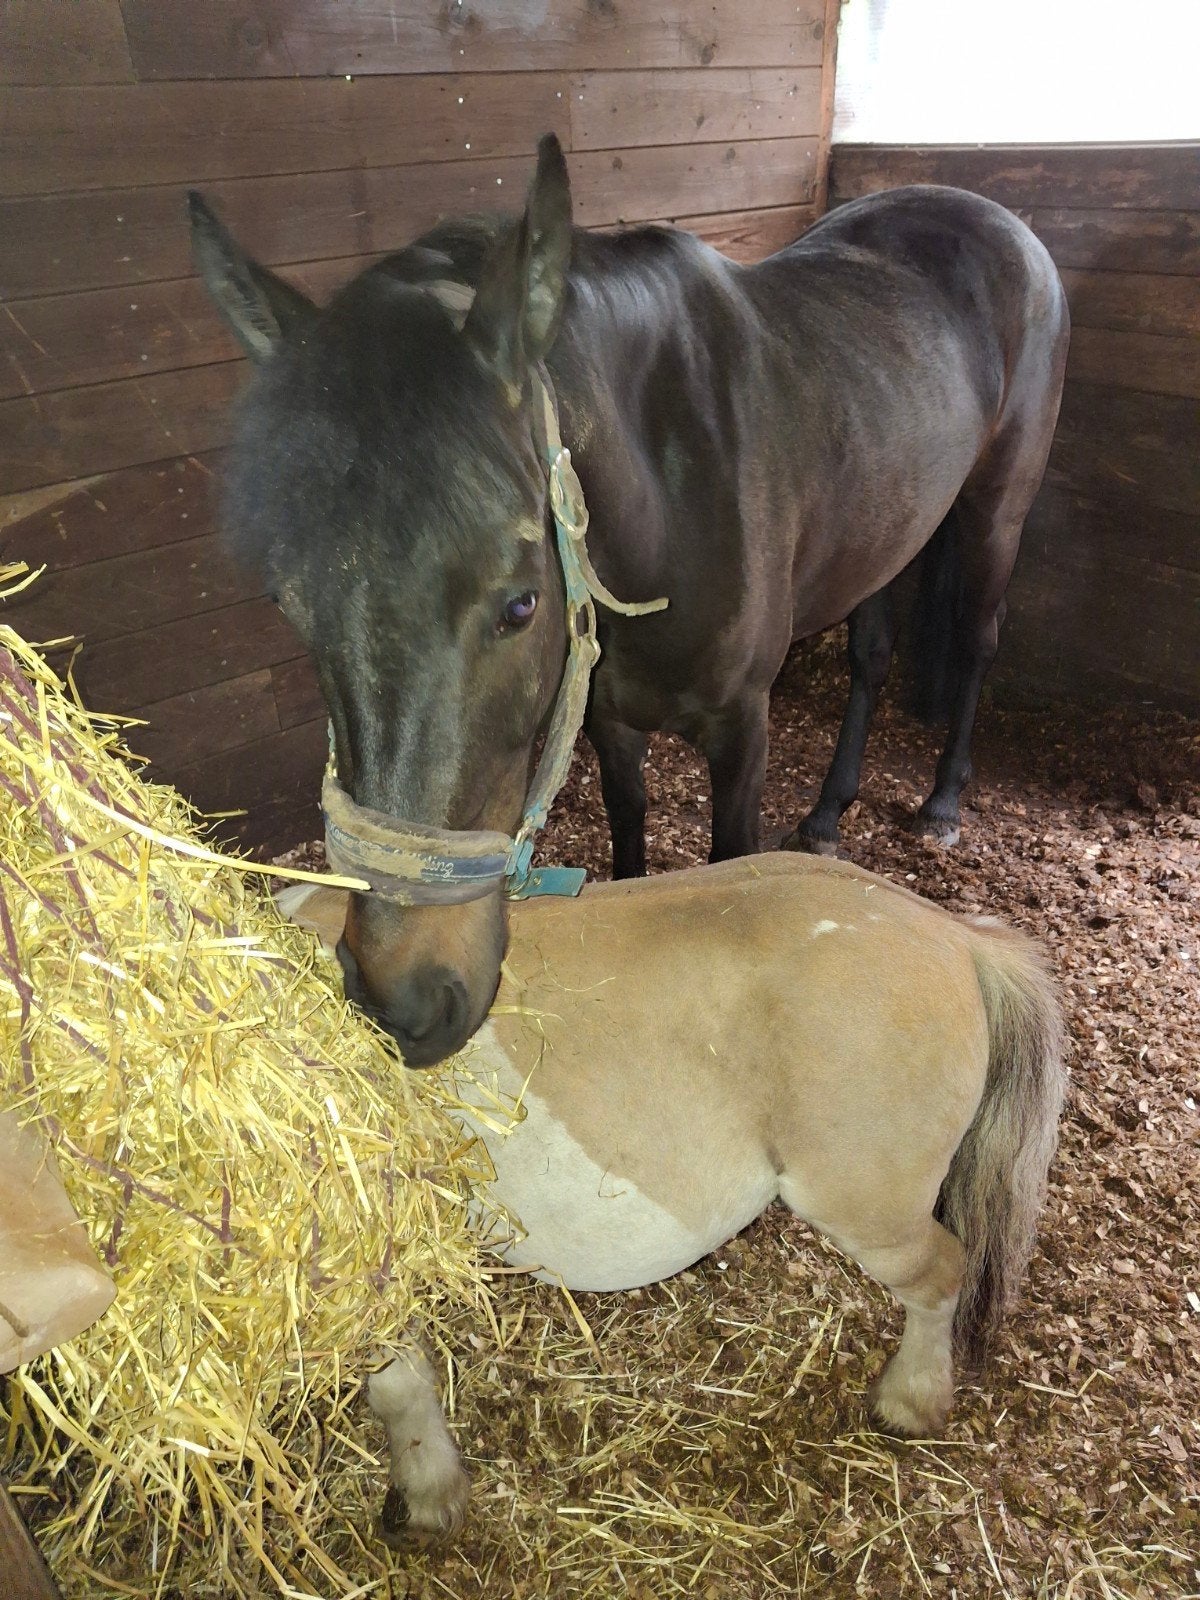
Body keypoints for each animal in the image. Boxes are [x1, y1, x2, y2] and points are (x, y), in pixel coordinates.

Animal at [192, 134, 1069, 1065]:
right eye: (290, 606)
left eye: (520, 607)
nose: (404, 1001)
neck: (670, 497)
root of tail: (993, 216)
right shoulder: (611, 722)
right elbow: (630, 845)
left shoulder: (741, 728)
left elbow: (730, 861)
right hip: (894, 525)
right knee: (871, 655)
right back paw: (829, 813)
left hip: (996, 513)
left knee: (977, 642)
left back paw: (941, 806)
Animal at [278, 852, 1066, 1545]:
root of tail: (958, 937)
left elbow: (396, 1387)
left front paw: (427, 1493)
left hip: (871, 1212)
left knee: (941, 1278)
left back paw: (912, 1401)